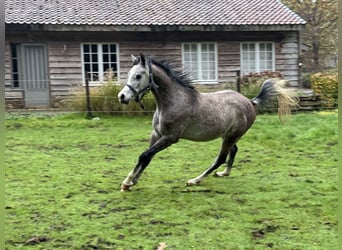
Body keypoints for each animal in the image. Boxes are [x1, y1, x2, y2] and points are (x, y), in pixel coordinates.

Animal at [117, 53, 296, 191]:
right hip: (228, 135)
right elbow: (147, 157)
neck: (173, 101)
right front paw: (131, 182)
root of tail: (251, 102)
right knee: (233, 151)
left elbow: (144, 155)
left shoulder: (171, 138)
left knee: (221, 158)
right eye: (129, 74)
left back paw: (194, 180)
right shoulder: (157, 134)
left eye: (138, 76)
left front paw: (127, 182)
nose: (122, 97)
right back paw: (224, 173)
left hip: (231, 136)